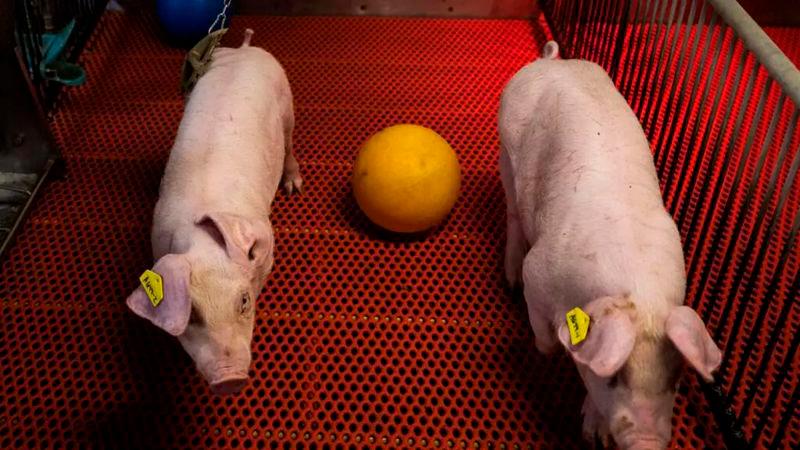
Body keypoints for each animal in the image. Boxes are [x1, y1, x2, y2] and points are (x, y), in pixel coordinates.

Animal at [125, 29, 302, 395]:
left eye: (244, 301)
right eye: (192, 315)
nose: (229, 380)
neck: (202, 242)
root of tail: (245, 49)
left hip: (287, 100)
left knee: (290, 142)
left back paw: (294, 186)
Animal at [498, 41, 722, 449]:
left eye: (675, 380)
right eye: (613, 378)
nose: (648, 442)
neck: (640, 293)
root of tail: (551, 62)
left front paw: (594, 435)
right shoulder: (538, 273)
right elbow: (544, 333)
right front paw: (547, 350)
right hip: (506, 147)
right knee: (513, 212)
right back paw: (509, 280)